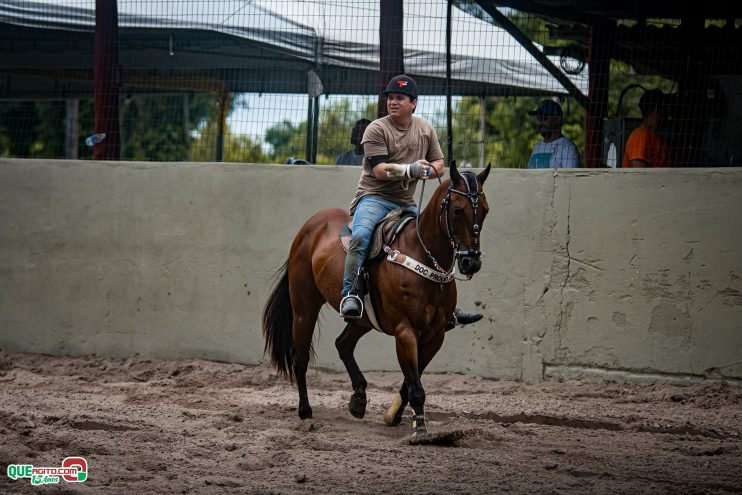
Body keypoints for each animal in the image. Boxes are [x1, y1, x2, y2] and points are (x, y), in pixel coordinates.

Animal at [264, 162, 492, 434]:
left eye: (485, 210)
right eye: (457, 211)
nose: (472, 262)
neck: (423, 255)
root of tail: (310, 227)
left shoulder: (435, 335)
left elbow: (410, 381)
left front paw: (393, 415)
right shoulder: (405, 331)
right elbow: (415, 387)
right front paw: (420, 430)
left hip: (363, 320)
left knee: (343, 344)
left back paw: (358, 400)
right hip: (304, 309)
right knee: (301, 358)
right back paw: (305, 411)